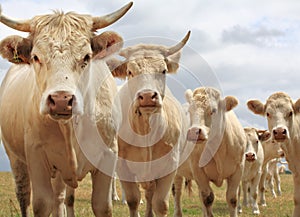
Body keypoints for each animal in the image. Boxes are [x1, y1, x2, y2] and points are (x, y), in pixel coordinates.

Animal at [0, 2, 132, 216]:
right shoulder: (36, 157)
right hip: (16, 160)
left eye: (86, 56)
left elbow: (102, 205)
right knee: (25, 196)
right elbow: (42, 204)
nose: (61, 100)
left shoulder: (108, 155)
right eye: (36, 57)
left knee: (59, 198)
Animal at [109, 31, 191, 217]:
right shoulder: (122, 165)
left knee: (171, 191)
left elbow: (160, 204)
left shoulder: (170, 165)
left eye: (164, 70)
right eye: (130, 71)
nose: (147, 96)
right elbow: (133, 200)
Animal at [173, 87, 246, 217]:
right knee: (177, 191)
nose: (194, 131)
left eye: (214, 110)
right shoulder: (198, 171)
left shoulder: (238, 169)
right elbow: (208, 198)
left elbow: (232, 198)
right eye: (190, 110)